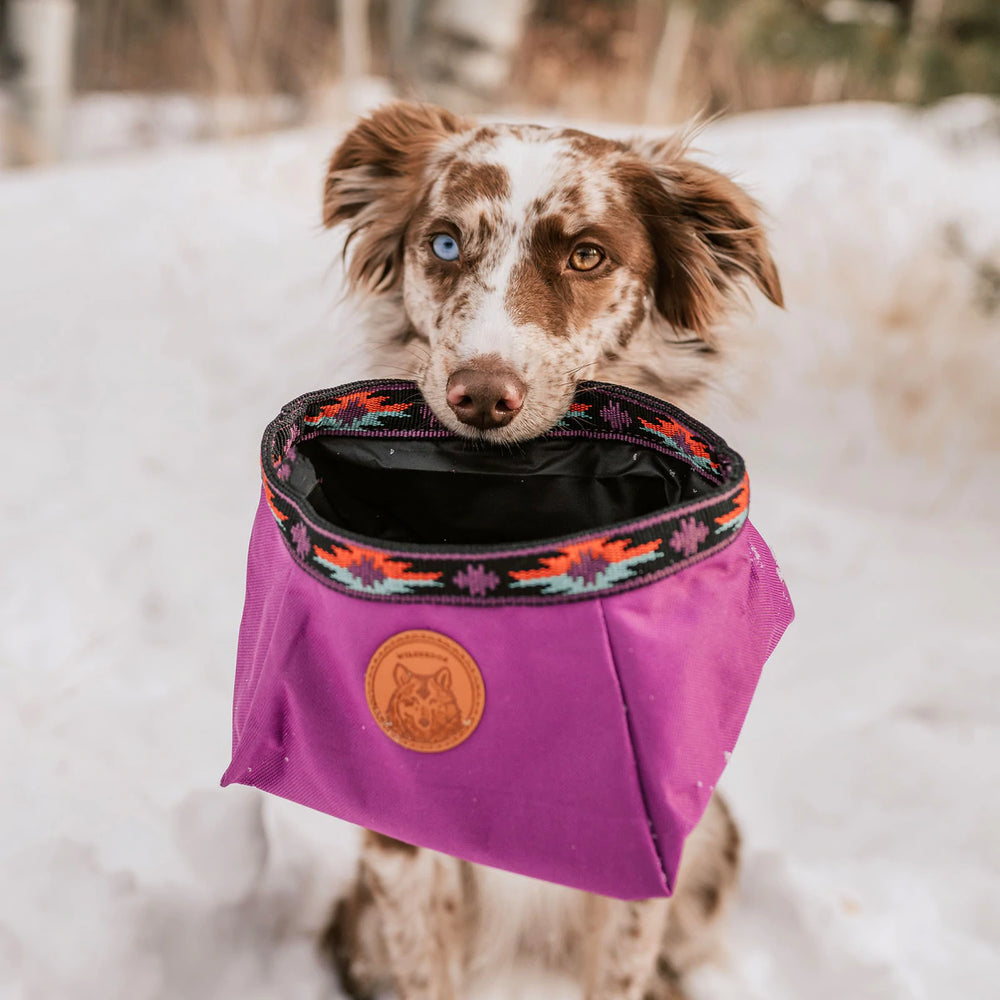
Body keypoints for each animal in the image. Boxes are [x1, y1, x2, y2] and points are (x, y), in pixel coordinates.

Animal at [318, 103, 780, 1000]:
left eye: (588, 254)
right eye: (445, 244)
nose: (481, 397)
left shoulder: (646, 842)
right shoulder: (399, 844)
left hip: (717, 840)